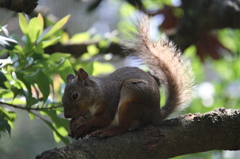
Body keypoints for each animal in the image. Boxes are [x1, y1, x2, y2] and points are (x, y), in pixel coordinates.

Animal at [62, 15, 195, 139]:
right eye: (63, 97)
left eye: (75, 95)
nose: (67, 116)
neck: (97, 92)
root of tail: (156, 115)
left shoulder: (109, 101)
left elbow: (103, 119)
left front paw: (85, 126)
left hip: (132, 95)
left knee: (124, 127)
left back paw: (109, 131)